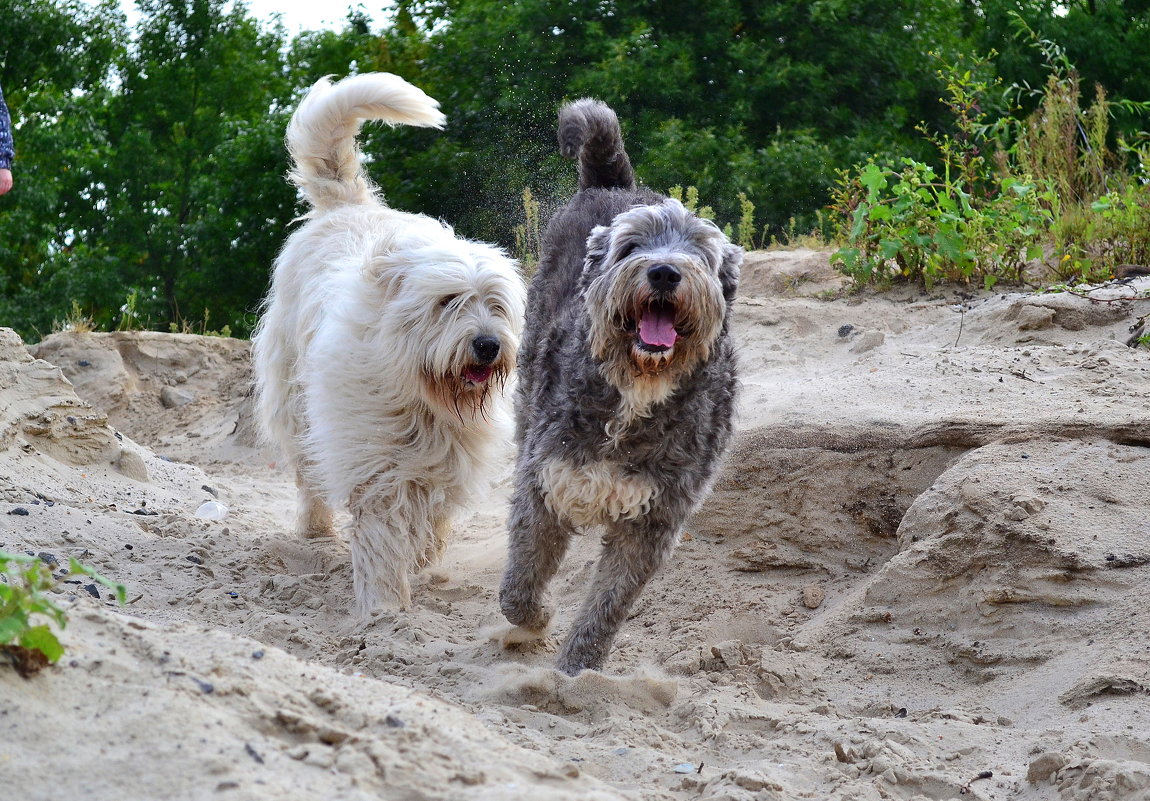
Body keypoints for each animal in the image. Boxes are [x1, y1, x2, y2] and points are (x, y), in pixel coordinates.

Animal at [254, 73, 526, 611]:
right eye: (448, 301)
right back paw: (316, 530)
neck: (421, 395)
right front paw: (384, 605)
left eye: (497, 304)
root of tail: (348, 205)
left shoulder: (447, 458)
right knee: (308, 471)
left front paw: (421, 558)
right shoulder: (375, 457)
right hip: (294, 398)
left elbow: (433, 514)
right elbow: (381, 527)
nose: (488, 345)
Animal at [499, 99, 740, 675]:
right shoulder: (546, 482)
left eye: (701, 254)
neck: (634, 390)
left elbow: (607, 606)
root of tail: (612, 183)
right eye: (630, 246)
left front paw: (577, 672)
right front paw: (536, 619)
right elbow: (520, 583)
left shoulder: (653, 521)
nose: (665, 272)